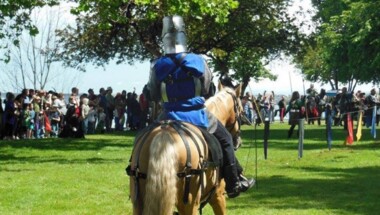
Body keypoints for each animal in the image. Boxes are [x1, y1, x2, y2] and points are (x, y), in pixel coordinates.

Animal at [127, 83, 246, 214]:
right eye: (241, 111)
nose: (238, 142)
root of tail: (164, 133)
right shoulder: (218, 196)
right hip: (190, 204)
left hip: (138, 204)